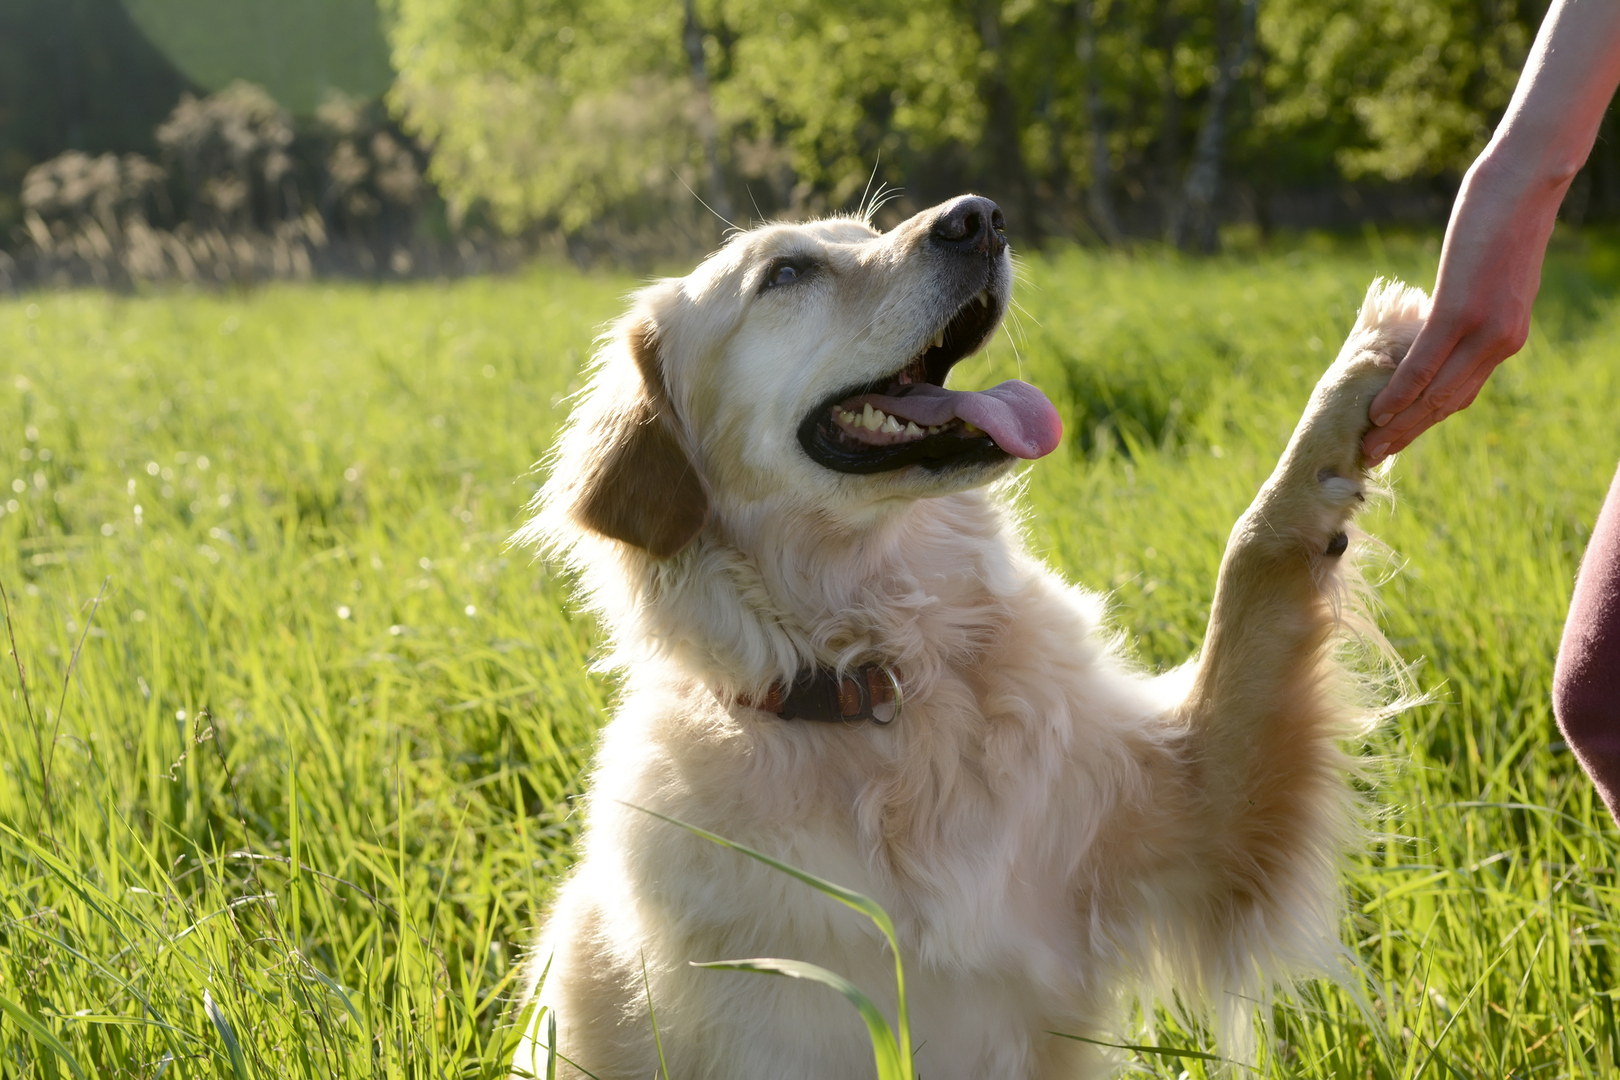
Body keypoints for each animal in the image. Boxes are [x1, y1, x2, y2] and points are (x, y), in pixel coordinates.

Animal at [511, 196, 1425, 1080]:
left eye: (868, 229)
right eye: (787, 273)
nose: (979, 217)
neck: (890, 682)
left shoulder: (1201, 815)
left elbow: (1253, 563)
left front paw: (1364, 367)